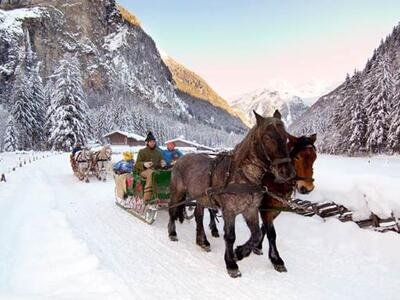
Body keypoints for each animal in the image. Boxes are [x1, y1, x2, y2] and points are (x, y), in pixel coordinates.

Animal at [167, 110, 296, 278]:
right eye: (268, 137)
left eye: (286, 137)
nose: (287, 172)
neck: (243, 177)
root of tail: (182, 157)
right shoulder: (229, 211)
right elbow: (230, 236)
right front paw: (231, 264)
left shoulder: (251, 210)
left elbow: (256, 235)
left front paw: (240, 253)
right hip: (177, 192)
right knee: (172, 209)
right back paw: (172, 232)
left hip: (201, 198)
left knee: (198, 216)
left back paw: (203, 242)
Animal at [255, 133, 318, 272]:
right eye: (297, 156)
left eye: (314, 157)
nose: (307, 188)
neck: (273, 180)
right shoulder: (265, 209)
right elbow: (272, 234)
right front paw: (277, 260)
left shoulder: (275, 210)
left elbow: (264, 229)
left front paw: (257, 247)